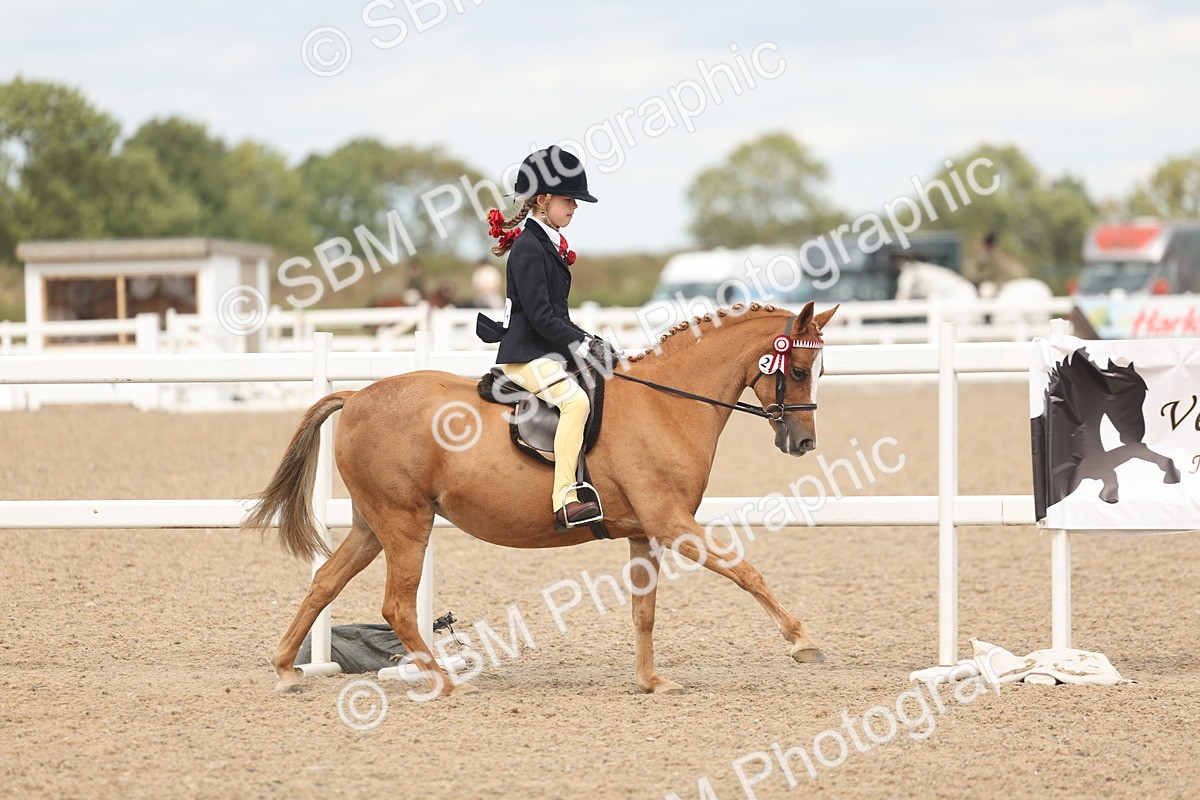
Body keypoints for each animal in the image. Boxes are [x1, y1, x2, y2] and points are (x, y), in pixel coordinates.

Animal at [243, 301, 838, 697]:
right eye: (798, 370)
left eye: (819, 370)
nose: (803, 443)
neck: (666, 404)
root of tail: (357, 395)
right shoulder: (672, 523)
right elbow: (746, 571)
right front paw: (802, 640)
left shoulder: (646, 531)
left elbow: (644, 611)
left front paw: (651, 681)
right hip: (405, 522)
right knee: (396, 606)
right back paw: (444, 684)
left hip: (374, 524)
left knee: (325, 581)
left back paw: (286, 670)